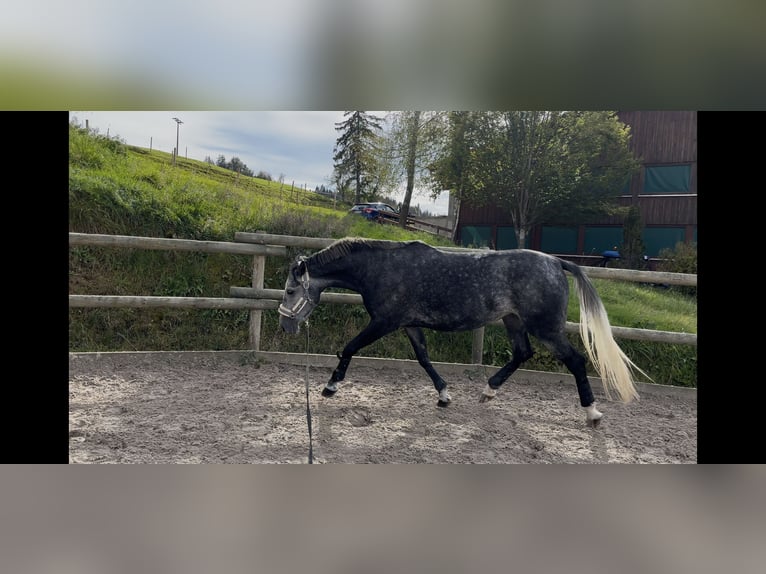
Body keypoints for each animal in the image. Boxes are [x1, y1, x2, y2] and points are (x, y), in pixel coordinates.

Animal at [280, 238, 644, 428]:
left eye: (289, 291)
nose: (285, 326)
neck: (381, 269)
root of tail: (557, 263)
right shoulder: (409, 324)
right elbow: (424, 359)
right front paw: (444, 396)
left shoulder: (384, 322)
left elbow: (349, 348)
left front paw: (330, 387)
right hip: (514, 321)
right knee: (522, 353)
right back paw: (488, 392)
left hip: (546, 328)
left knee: (576, 361)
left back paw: (593, 413)